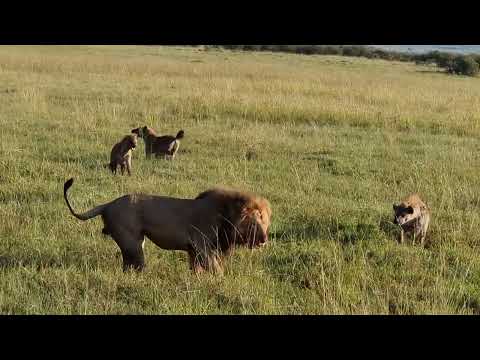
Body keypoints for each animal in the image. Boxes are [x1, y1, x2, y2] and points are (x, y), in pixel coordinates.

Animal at [62, 177, 272, 272]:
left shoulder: (194, 251)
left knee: (127, 265)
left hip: (134, 243)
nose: (264, 240)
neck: (227, 215)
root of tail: (108, 204)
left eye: (265, 223)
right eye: (255, 224)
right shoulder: (203, 247)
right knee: (135, 265)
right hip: (133, 244)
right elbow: (216, 270)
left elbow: (197, 270)